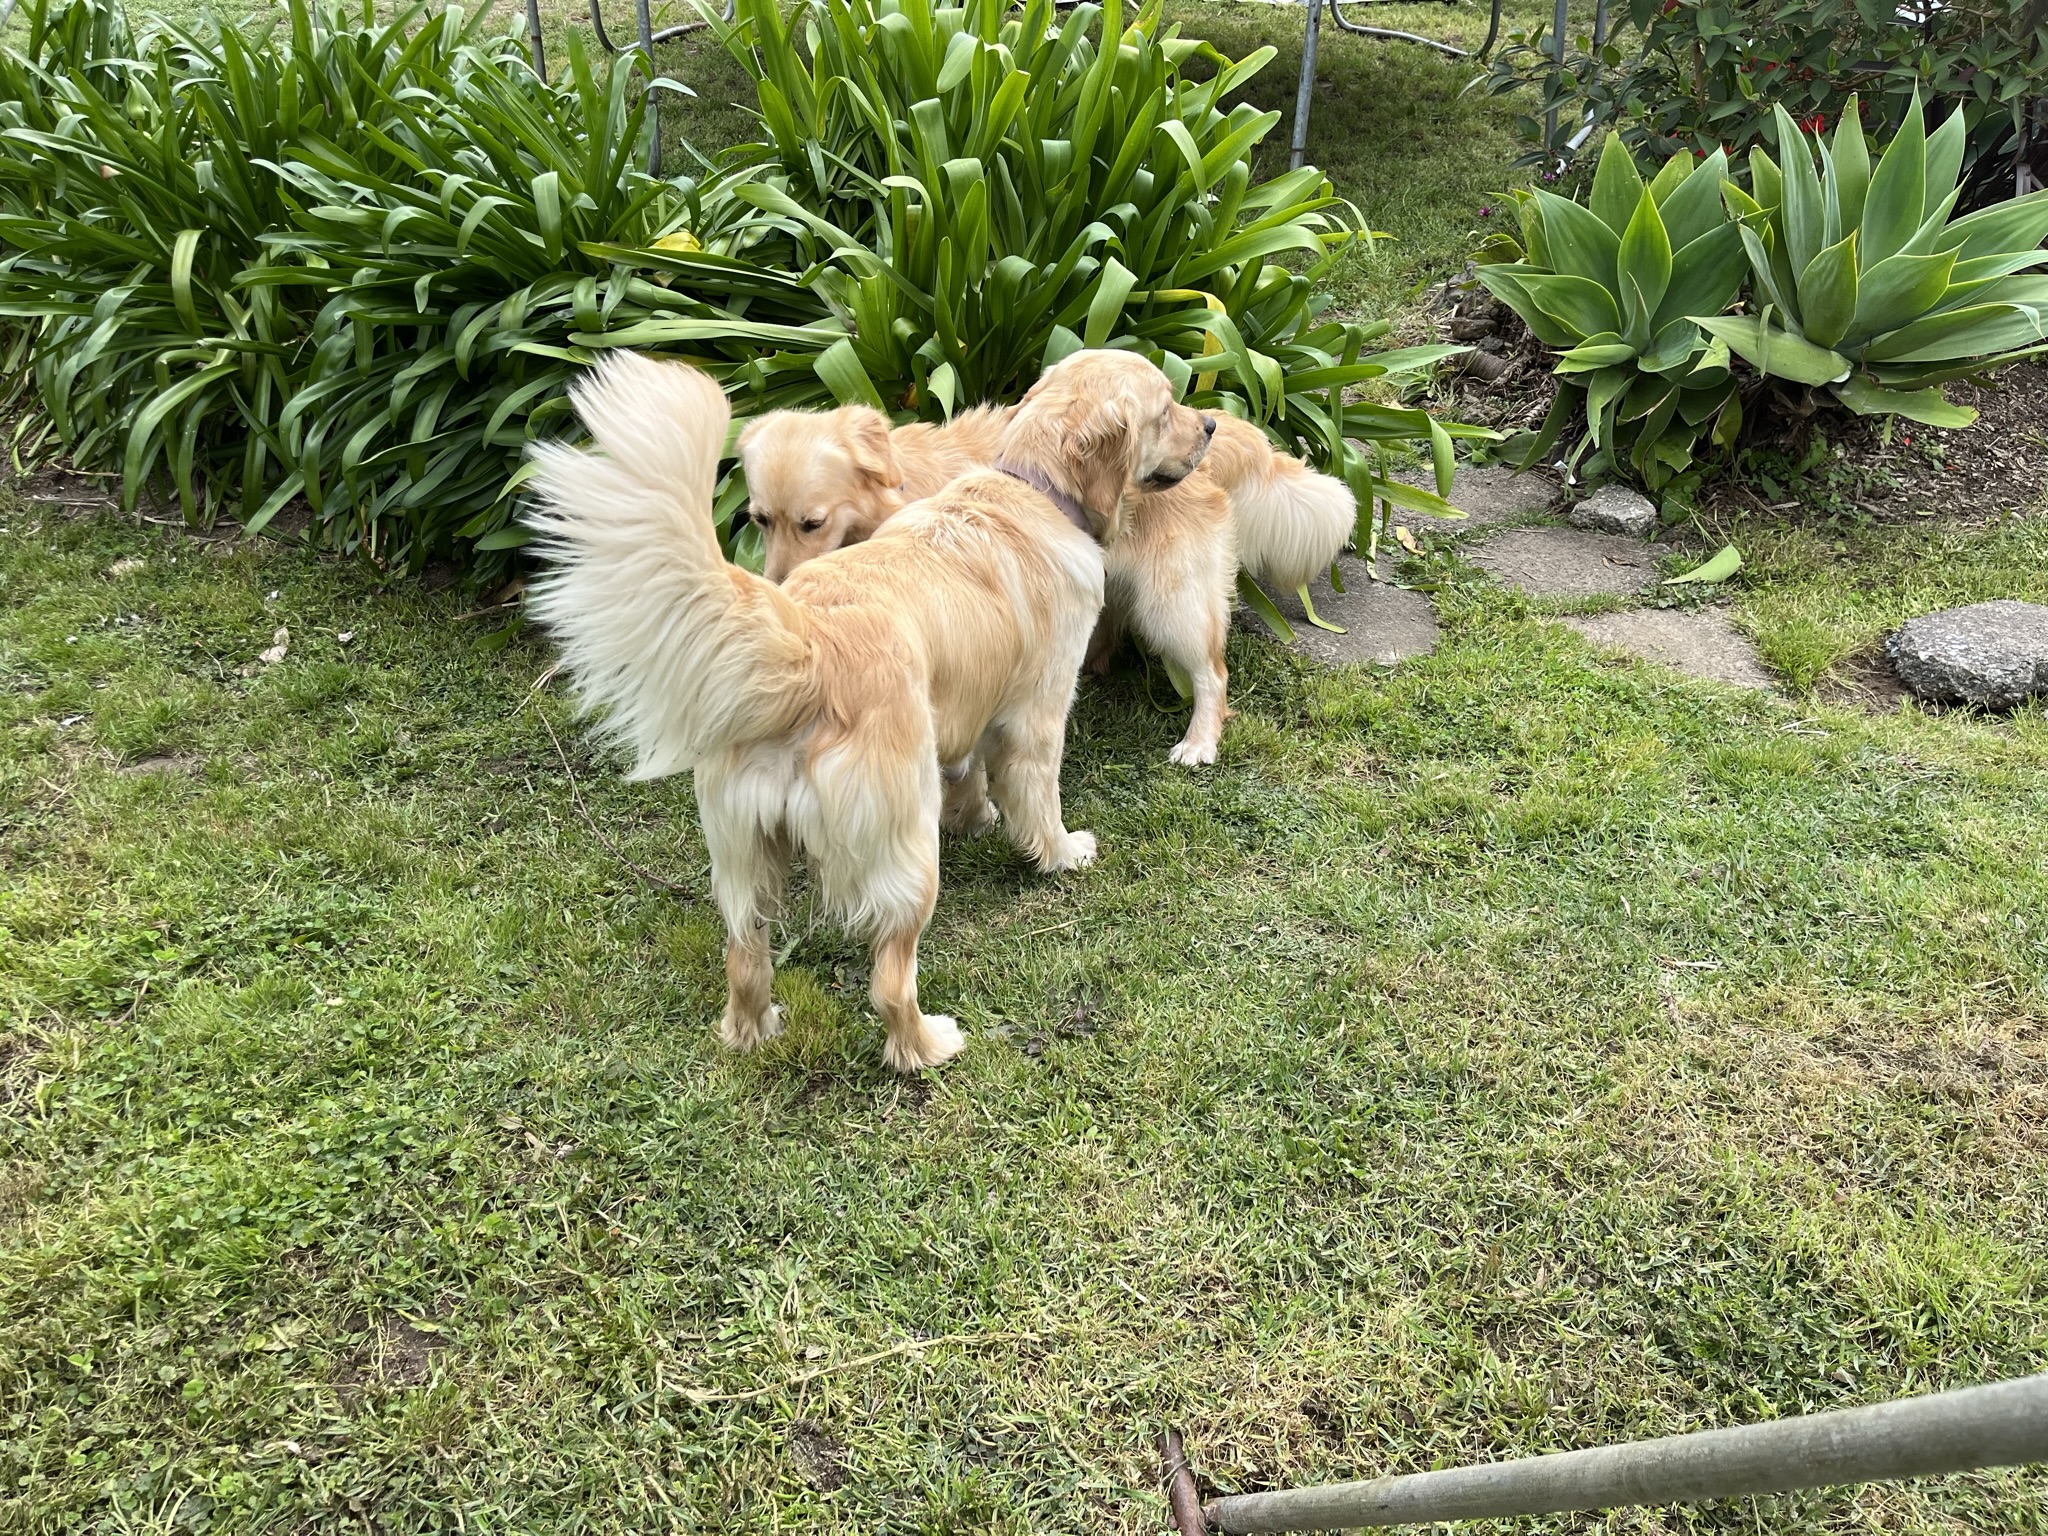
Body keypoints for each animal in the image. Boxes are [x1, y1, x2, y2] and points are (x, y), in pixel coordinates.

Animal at [520, 352, 1212, 1073]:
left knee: (744, 960)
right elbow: (1038, 800)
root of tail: (807, 645)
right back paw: (927, 1045)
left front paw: (978, 818)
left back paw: (755, 1031)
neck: (1033, 485)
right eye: (1166, 409)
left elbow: (968, 772)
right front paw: (1062, 851)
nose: (1213, 424)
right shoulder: (1037, 713)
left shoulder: (961, 709)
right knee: (889, 982)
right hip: (905, 849)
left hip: (743, 858)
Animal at [745, 380, 1351, 765]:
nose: (776, 590)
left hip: (1172, 605)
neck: (900, 490)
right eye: (758, 520)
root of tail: (1213, 423)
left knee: (1212, 674)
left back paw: (1199, 742)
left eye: (812, 522)